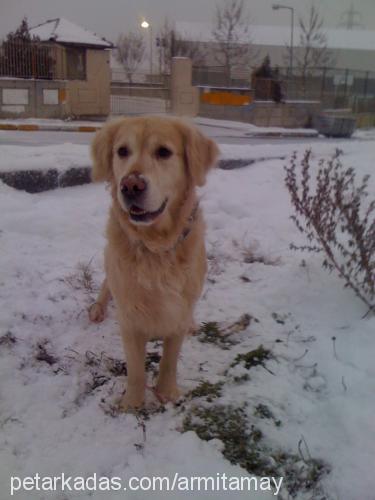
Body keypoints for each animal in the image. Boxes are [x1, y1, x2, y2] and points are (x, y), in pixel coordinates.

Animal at [89, 116, 219, 410]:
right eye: (122, 151)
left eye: (164, 152)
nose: (130, 185)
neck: (156, 246)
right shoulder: (130, 316)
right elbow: (136, 368)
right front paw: (132, 404)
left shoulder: (178, 310)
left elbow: (170, 359)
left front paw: (167, 393)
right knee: (104, 287)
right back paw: (97, 309)